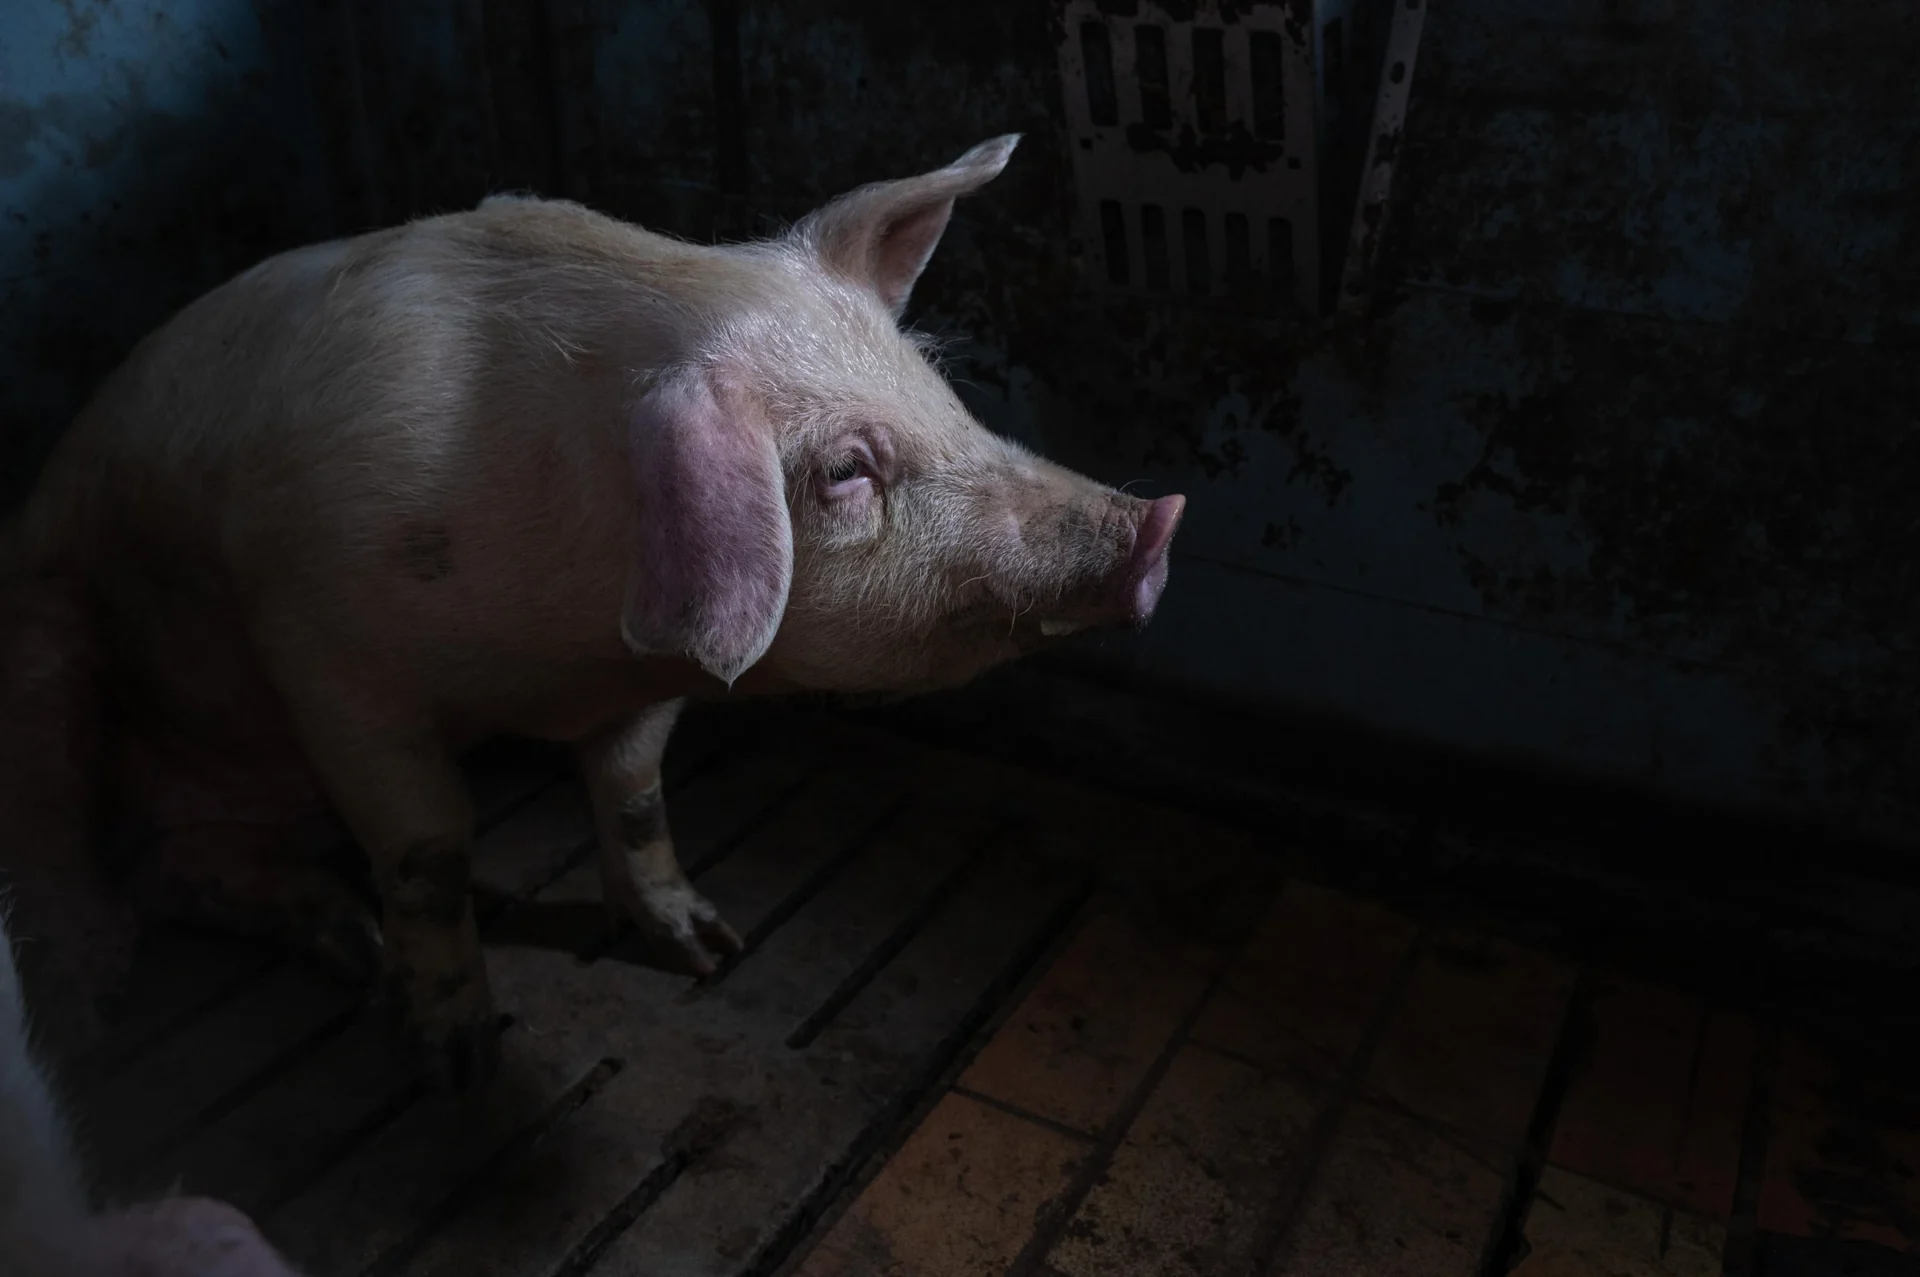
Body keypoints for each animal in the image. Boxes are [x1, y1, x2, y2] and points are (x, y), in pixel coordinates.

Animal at [7, 134, 1185, 1090]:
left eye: (939, 387)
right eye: (848, 468)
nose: (1156, 519)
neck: (552, 652)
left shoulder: (643, 674)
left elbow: (634, 795)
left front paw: (710, 947)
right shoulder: (319, 645)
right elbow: (428, 850)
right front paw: (455, 1062)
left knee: (179, 863)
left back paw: (337, 934)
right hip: (50, 639)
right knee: (84, 854)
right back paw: (112, 1000)